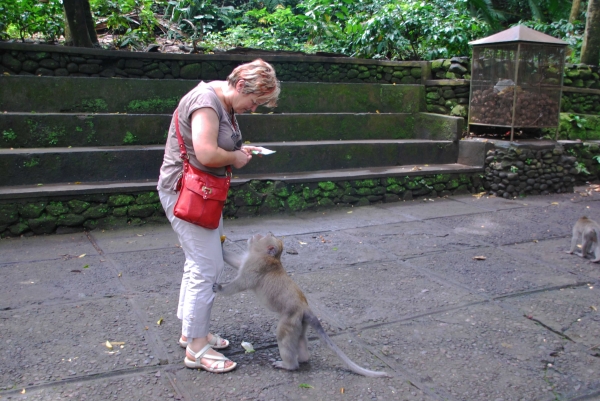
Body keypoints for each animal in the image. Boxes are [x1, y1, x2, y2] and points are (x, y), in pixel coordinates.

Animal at [211, 233, 390, 376]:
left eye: (262, 236)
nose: (254, 235)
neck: (270, 257)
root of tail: (305, 308)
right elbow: (236, 261)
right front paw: (221, 245)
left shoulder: (256, 265)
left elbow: (241, 283)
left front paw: (220, 288)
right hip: (301, 322)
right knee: (301, 338)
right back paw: (304, 358)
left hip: (290, 319)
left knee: (283, 335)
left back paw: (289, 365)